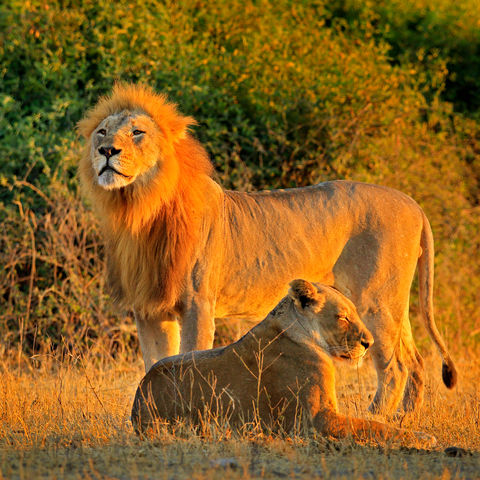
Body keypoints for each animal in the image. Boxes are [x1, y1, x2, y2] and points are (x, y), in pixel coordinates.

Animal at [78, 84, 458, 414]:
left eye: (137, 132)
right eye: (102, 131)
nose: (106, 151)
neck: (140, 207)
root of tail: (413, 203)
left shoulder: (197, 304)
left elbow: (191, 356)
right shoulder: (149, 309)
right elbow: (156, 363)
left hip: (376, 299)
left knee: (394, 367)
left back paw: (376, 419)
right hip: (394, 303)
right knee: (415, 362)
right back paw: (404, 419)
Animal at [130, 280, 436, 448]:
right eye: (343, 316)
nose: (369, 343)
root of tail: (139, 401)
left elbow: (373, 423)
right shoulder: (317, 418)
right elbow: (372, 426)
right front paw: (423, 438)